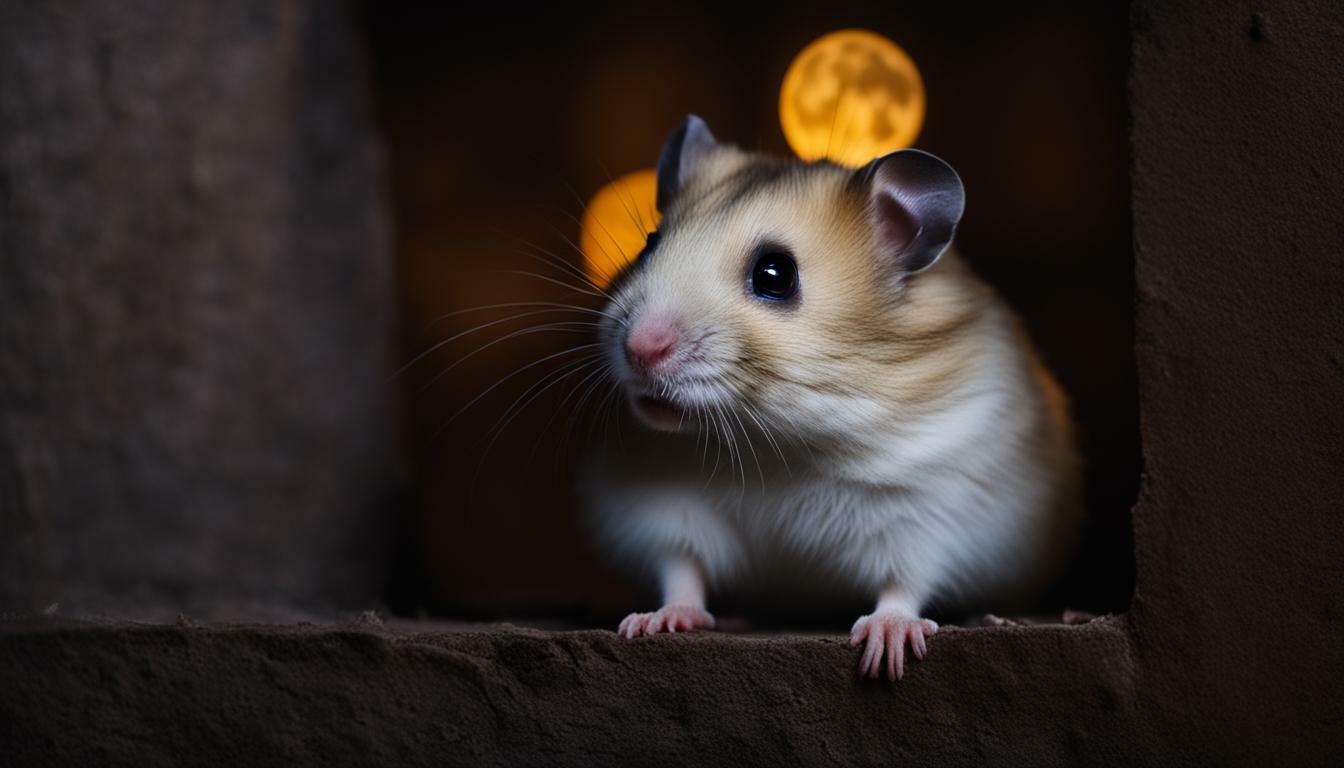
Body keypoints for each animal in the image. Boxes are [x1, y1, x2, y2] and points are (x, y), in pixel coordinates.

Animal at [581, 115, 1081, 681]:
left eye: (774, 274)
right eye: (649, 243)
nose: (639, 348)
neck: (773, 442)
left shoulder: (932, 508)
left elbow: (904, 583)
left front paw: (886, 652)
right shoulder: (661, 509)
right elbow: (683, 571)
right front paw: (651, 624)